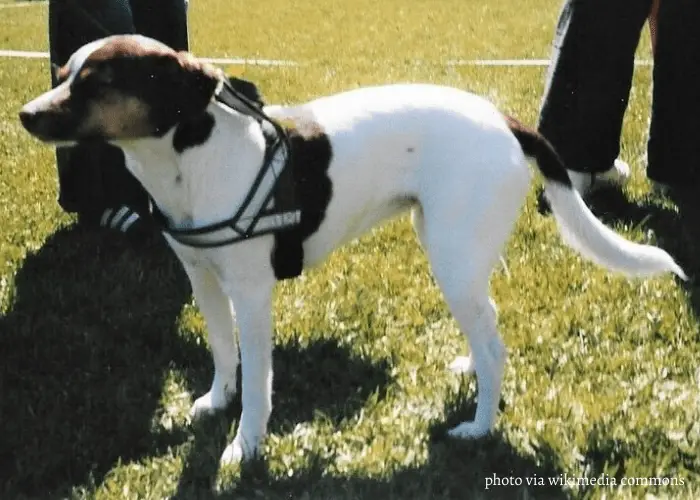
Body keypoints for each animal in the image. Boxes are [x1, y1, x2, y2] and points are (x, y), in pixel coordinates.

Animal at [19, 34, 688, 464]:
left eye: (99, 82)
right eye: (61, 74)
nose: (25, 114)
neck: (194, 158)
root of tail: (506, 121)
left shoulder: (252, 296)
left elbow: (258, 380)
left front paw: (246, 445)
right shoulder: (203, 280)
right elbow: (221, 354)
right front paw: (216, 401)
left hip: (451, 256)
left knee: (496, 345)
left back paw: (478, 428)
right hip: (455, 252)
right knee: (488, 328)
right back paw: (471, 370)